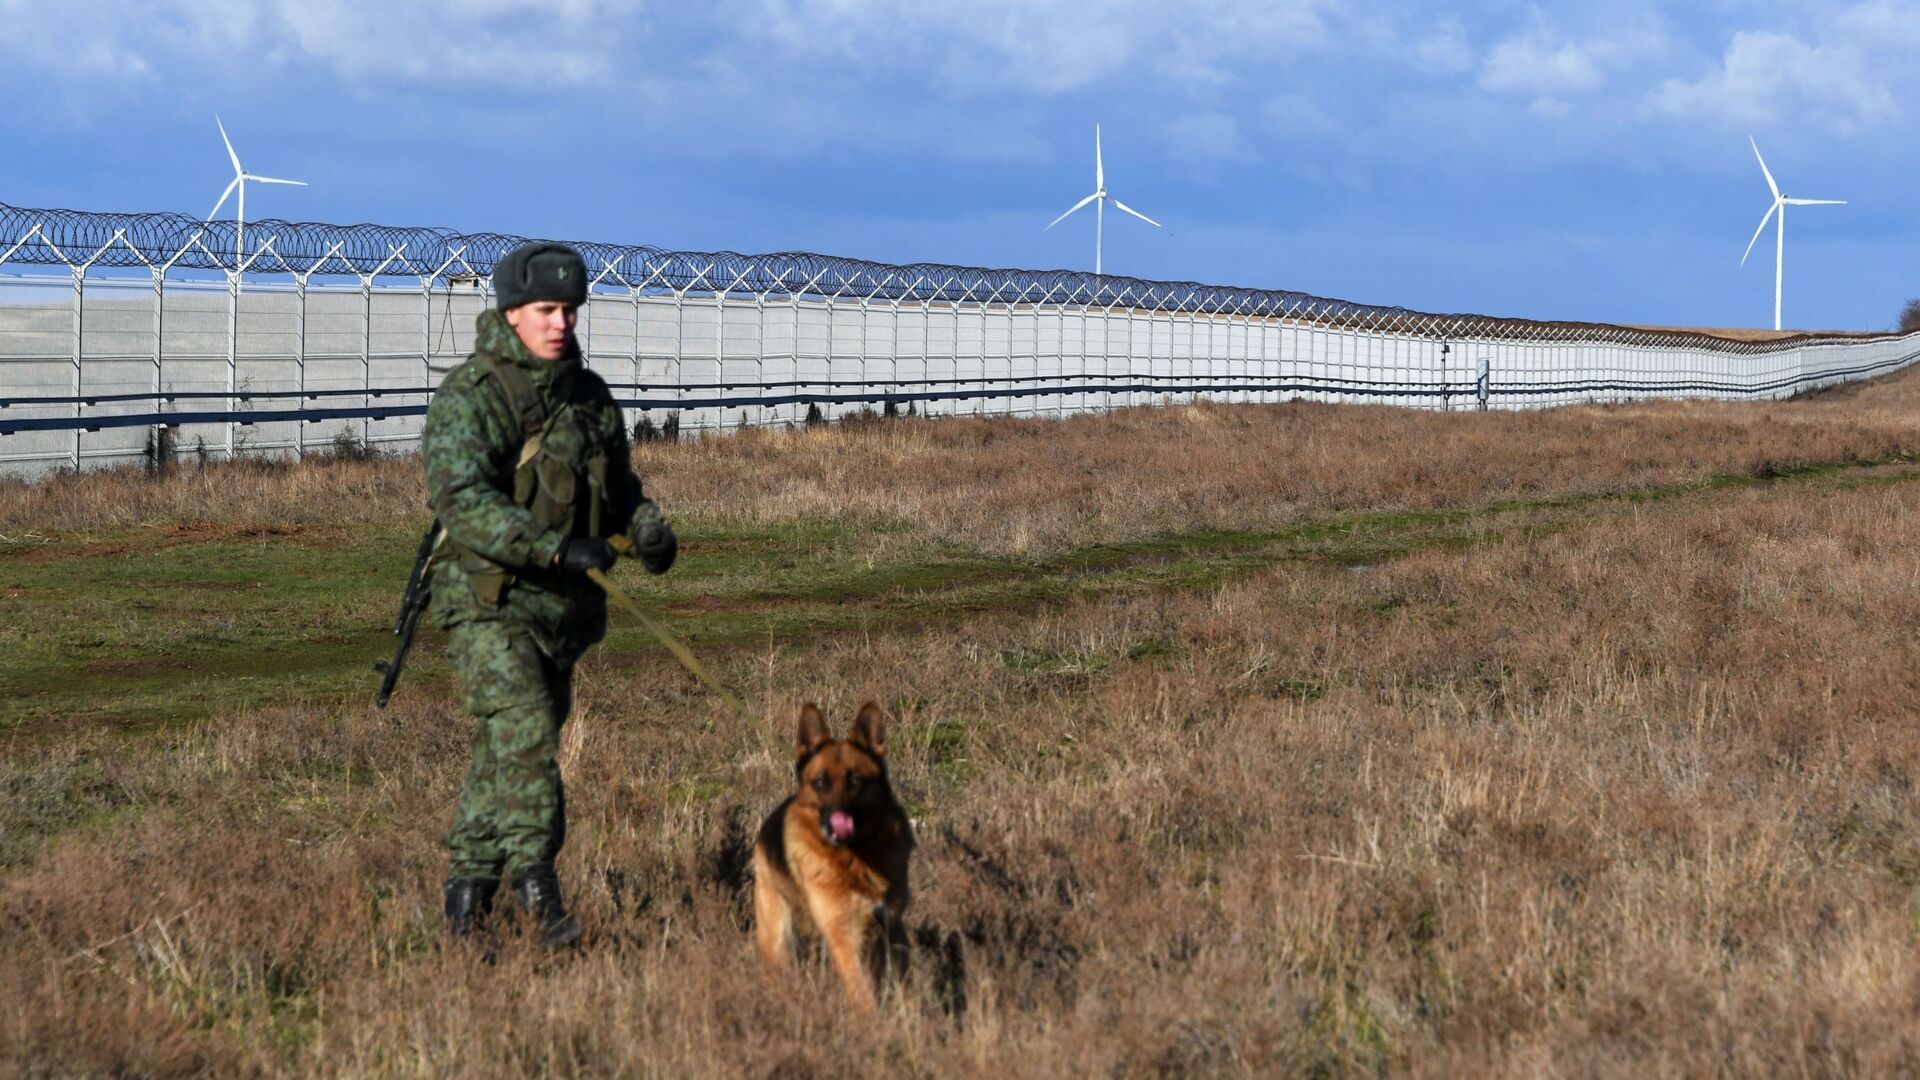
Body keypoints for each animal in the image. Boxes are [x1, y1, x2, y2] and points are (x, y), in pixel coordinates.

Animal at [748, 703, 913, 1006]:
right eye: (821, 782)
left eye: (856, 780)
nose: (839, 818)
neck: (856, 859)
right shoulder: (845, 936)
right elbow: (863, 994)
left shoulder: (892, 927)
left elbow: (905, 984)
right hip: (778, 938)